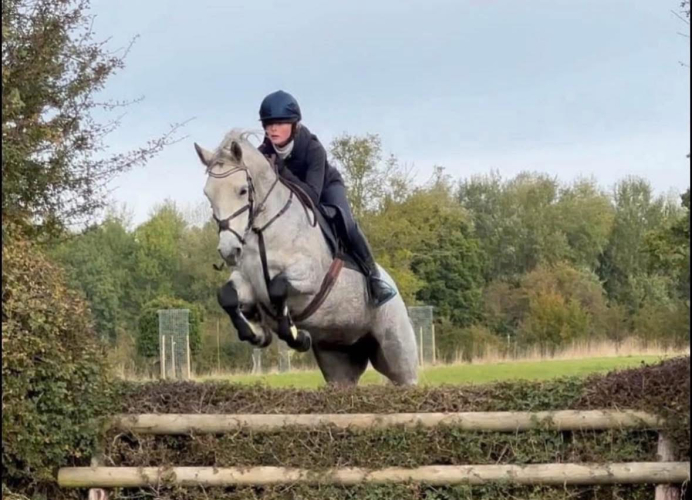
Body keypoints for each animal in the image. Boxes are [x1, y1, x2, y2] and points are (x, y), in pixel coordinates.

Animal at [194, 129, 418, 386]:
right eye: (208, 194)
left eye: (242, 190)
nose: (229, 251)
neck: (264, 231)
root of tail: (395, 288)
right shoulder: (248, 282)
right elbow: (227, 296)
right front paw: (256, 333)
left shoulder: (311, 279)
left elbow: (278, 288)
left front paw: (295, 335)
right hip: (338, 364)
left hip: (398, 356)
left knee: (405, 376)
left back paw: (380, 289)